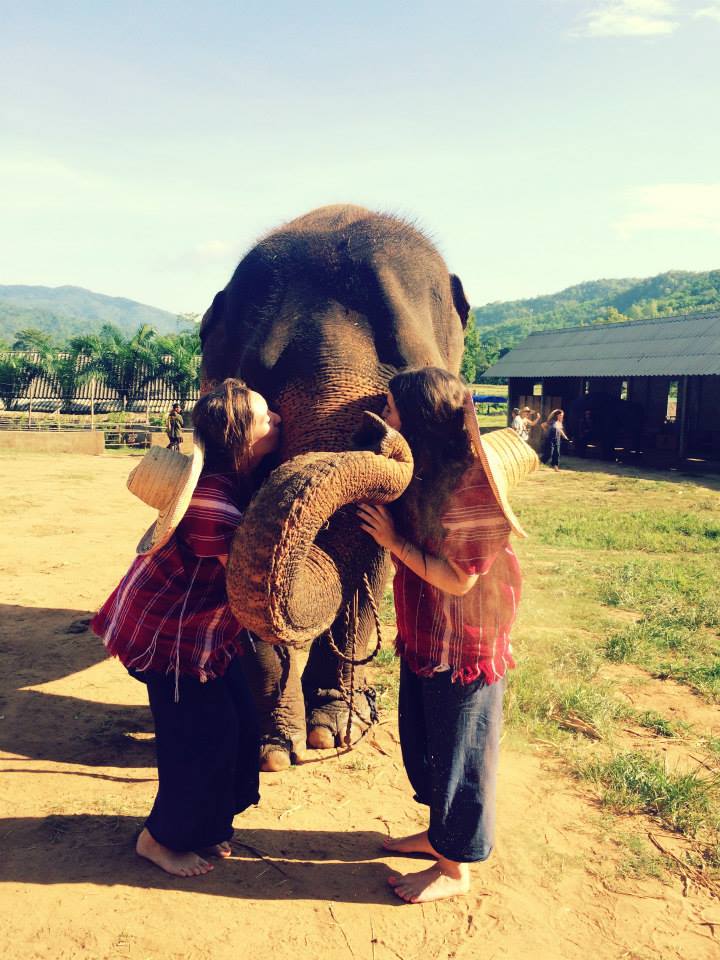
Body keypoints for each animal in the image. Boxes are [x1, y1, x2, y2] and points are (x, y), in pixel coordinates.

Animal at [200, 204, 470, 771]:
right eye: (258, 373)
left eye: (405, 371)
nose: (378, 429)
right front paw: (275, 749)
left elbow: (374, 560)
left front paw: (328, 732)